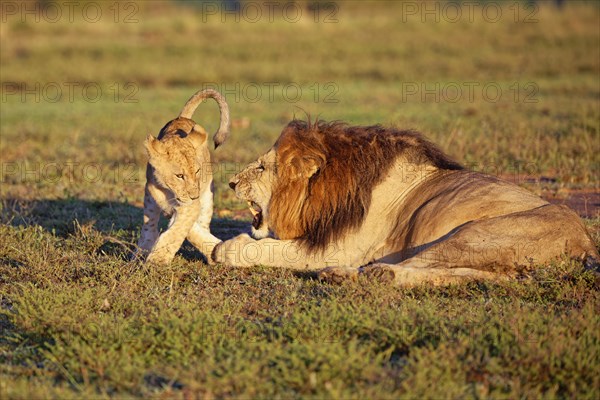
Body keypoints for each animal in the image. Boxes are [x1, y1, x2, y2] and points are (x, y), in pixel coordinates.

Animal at [137, 89, 230, 264]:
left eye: (197, 171)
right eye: (179, 175)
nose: (194, 196)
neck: (168, 191)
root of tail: (182, 117)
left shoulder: (189, 206)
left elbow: (179, 229)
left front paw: (158, 259)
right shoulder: (152, 196)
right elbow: (151, 225)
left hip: (207, 196)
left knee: (203, 222)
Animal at [213, 120, 596, 286]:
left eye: (261, 167)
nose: (230, 182)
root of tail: (586, 242)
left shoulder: (340, 247)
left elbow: (266, 249)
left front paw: (227, 248)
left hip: (472, 235)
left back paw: (363, 273)